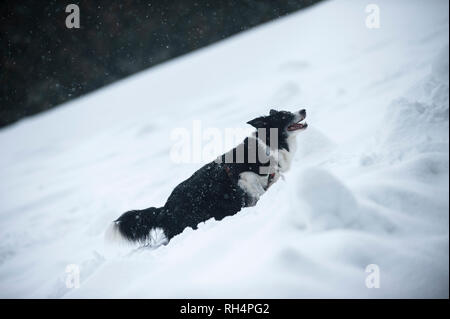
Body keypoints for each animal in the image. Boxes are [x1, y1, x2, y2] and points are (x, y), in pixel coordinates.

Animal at [107, 110, 308, 248]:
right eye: (285, 116)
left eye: (286, 111)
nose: (303, 110)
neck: (269, 145)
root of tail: (164, 209)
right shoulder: (244, 177)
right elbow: (257, 189)